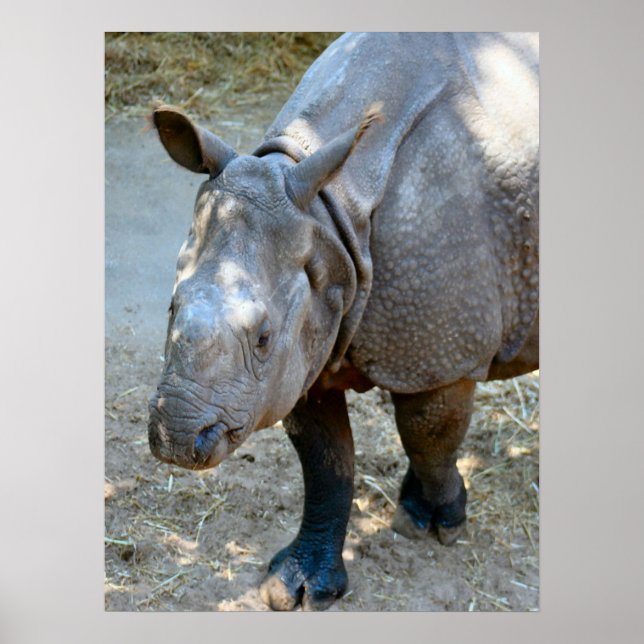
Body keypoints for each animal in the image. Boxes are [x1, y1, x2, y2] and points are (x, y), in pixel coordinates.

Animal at [148, 32, 539, 611]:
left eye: (262, 338)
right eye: (171, 308)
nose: (177, 439)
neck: (329, 215)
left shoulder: (440, 353)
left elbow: (428, 434)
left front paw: (435, 522)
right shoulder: (305, 348)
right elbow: (326, 463)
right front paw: (296, 589)